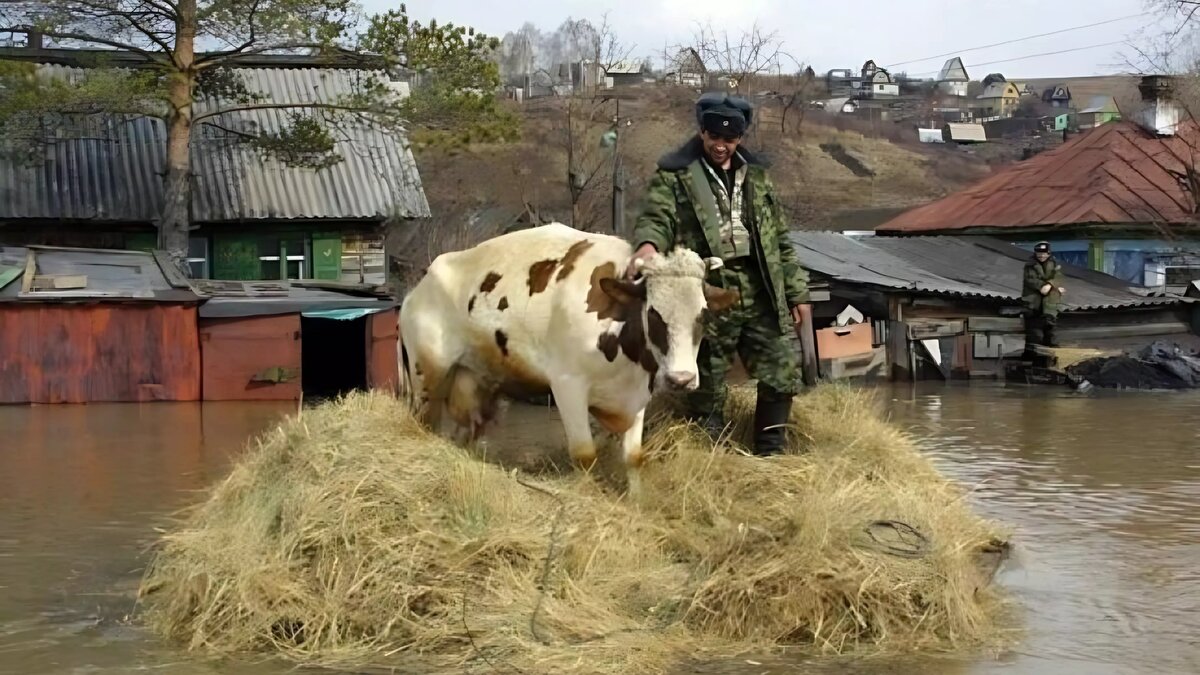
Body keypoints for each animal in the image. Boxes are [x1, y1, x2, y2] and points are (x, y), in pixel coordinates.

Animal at [400, 223, 739, 492]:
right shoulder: (568, 385)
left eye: (703, 314)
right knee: (425, 425)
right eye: (654, 313)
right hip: (427, 378)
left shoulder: (638, 393)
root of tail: (417, 290)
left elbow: (633, 458)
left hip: (476, 383)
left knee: (466, 432)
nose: (681, 379)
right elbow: (585, 454)